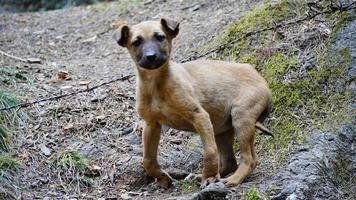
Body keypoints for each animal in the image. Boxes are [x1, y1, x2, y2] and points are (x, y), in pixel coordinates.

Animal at [114, 18, 272, 188]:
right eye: (136, 42)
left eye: (160, 37)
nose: (151, 56)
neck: (156, 84)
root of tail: (260, 77)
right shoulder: (151, 124)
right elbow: (147, 160)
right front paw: (163, 178)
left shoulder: (200, 116)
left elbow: (209, 152)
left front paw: (208, 177)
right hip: (222, 130)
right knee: (231, 161)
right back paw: (206, 176)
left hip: (241, 117)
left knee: (249, 159)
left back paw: (232, 179)